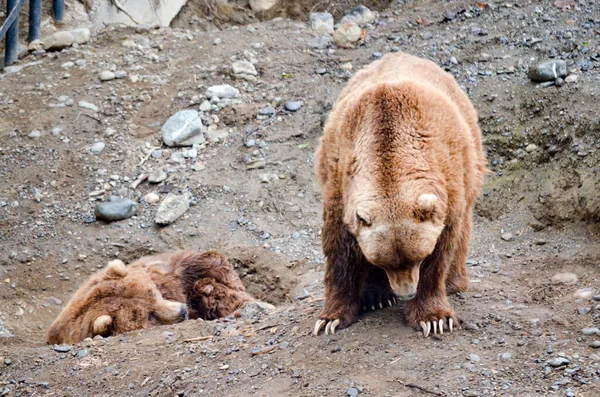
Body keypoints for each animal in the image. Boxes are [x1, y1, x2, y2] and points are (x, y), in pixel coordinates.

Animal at [314, 51, 488, 338]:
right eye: (386, 263)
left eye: (418, 257)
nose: (406, 291)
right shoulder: (340, 179)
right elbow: (340, 248)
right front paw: (331, 318)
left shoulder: (447, 179)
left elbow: (443, 247)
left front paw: (434, 317)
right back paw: (376, 296)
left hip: (471, 155)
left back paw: (454, 282)